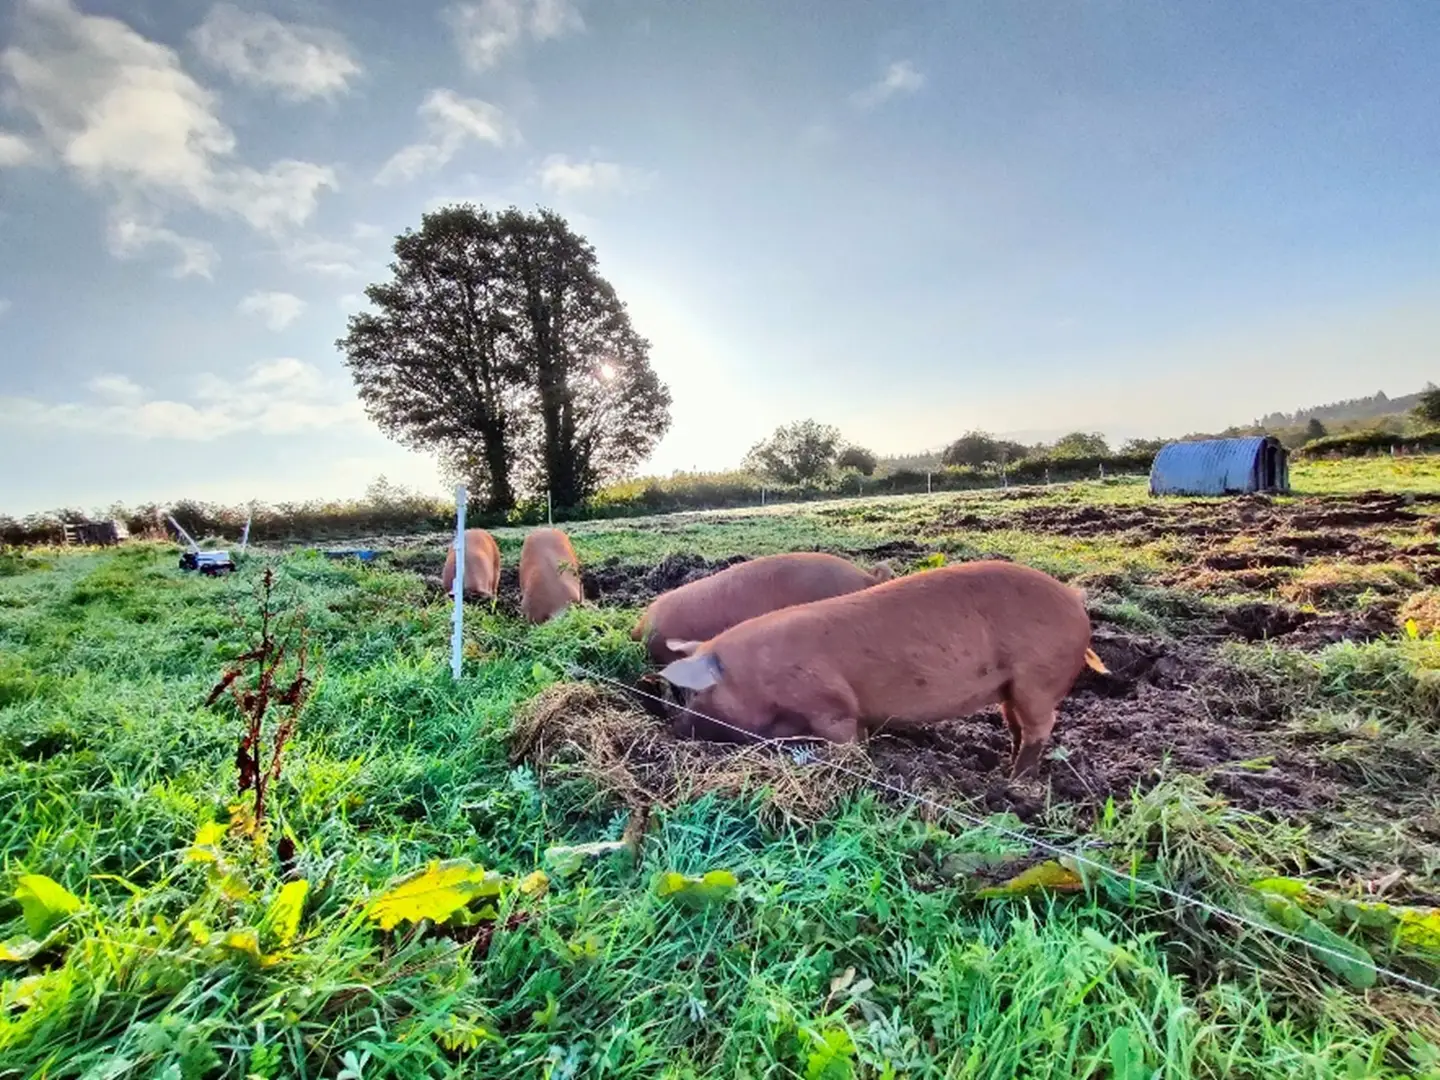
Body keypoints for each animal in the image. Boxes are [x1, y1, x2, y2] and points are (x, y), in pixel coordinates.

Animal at [656, 560, 1107, 779]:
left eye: (694, 692)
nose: (676, 728)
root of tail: (1073, 598)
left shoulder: (829, 703)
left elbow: (846, 741)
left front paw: (845, 762)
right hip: (1012, 686)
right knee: (1015, 723)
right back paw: (1004, 767)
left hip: (1038, 677)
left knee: (1039, 727)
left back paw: (1015, 781)